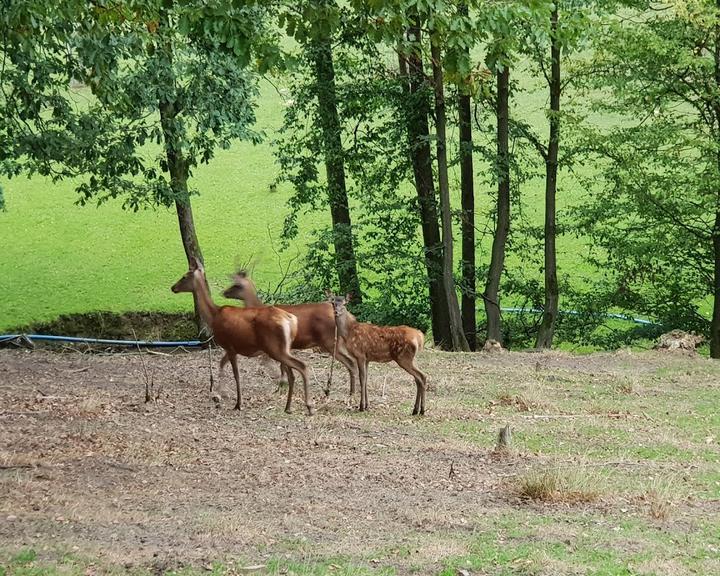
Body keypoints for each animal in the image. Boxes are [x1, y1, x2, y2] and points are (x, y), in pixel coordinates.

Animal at [172, 258, 316, 416]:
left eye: (184, 276)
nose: (173, 287)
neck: (214, 316)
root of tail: (291, 319)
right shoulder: (232, 348)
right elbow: (221, 364)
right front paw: (220, 395)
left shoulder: (229, 345)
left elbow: (236, 374)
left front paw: (237, 403)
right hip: (282, 348)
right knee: (291, 373)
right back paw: (288, 406)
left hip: (274, 347)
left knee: (301, 366)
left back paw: (308, 406)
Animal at [224, 270, 358, 396]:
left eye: (236, 285)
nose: (224, 292)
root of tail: (350, 316)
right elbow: (282, 365)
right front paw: (283, 384)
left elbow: (274, 364)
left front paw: (281, 384)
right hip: (338, 341)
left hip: (329, 340)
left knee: (350, 362)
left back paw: (350, 392)